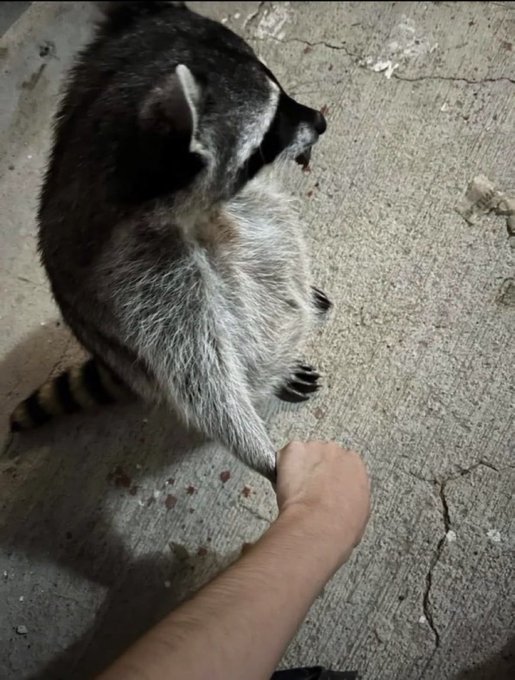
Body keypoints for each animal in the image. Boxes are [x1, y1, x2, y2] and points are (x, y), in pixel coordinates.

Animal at [10, 1, 331, 479]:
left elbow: (272, 229)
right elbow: (200, 373)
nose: (321, 121)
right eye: (271, 127)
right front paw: (264, 454)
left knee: (271, 225)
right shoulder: (139, 275)